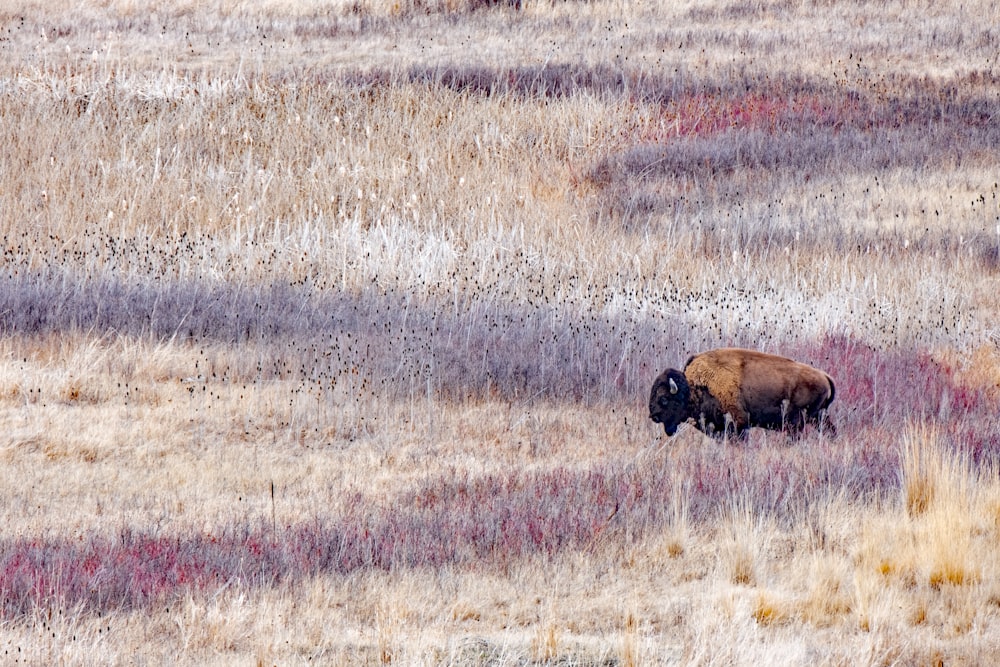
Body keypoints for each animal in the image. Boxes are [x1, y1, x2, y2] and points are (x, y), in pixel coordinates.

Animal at [648, 348, 836, 440]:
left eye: (663, 398)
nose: (653, 416)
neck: (694, 388)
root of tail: (825, 376)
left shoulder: (739, 423)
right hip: (819, 417)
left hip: (799, 421)